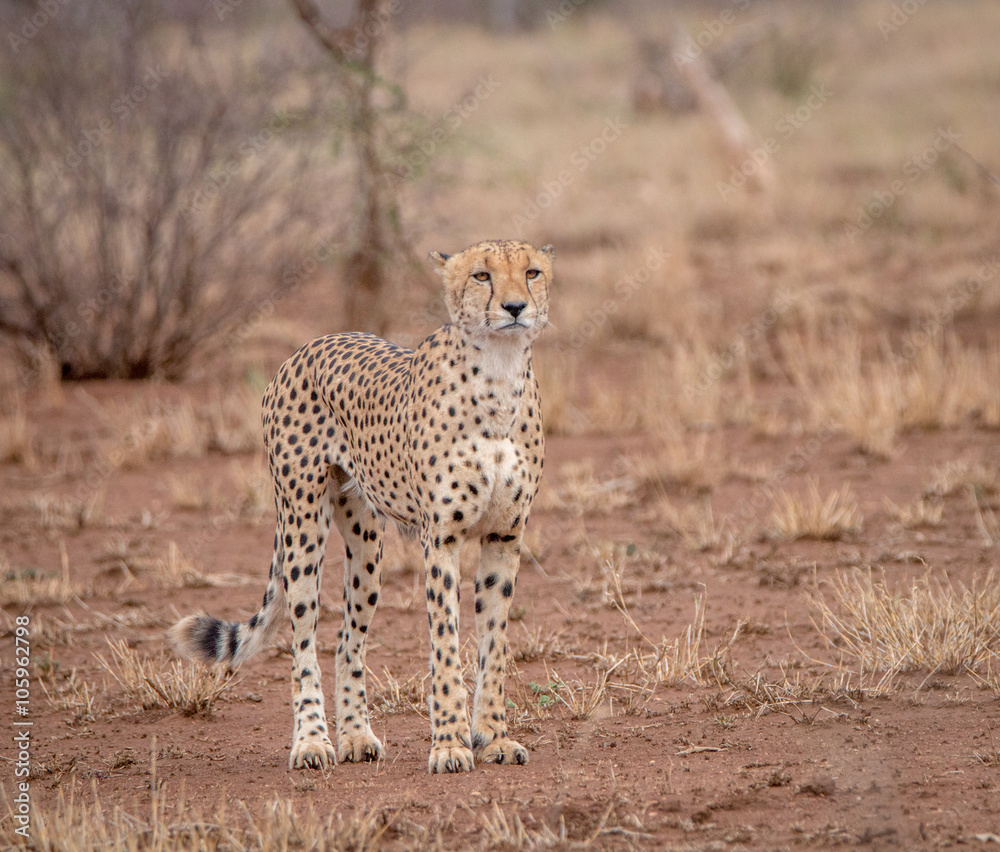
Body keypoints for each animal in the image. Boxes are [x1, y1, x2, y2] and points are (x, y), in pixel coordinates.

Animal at [170, 239, 552, 774]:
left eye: (532, 272)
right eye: (481, 276)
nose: (515, 307)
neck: (499, 373)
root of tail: (310, 345)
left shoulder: (505, 536)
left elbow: (493, 644)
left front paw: (493, 738)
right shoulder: (441, 539)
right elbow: (446, 643)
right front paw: (449, 744)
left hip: (367, 541)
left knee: (346, 640)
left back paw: (355, 737)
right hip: (302, 522)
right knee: (304, 637)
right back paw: (312, 742)